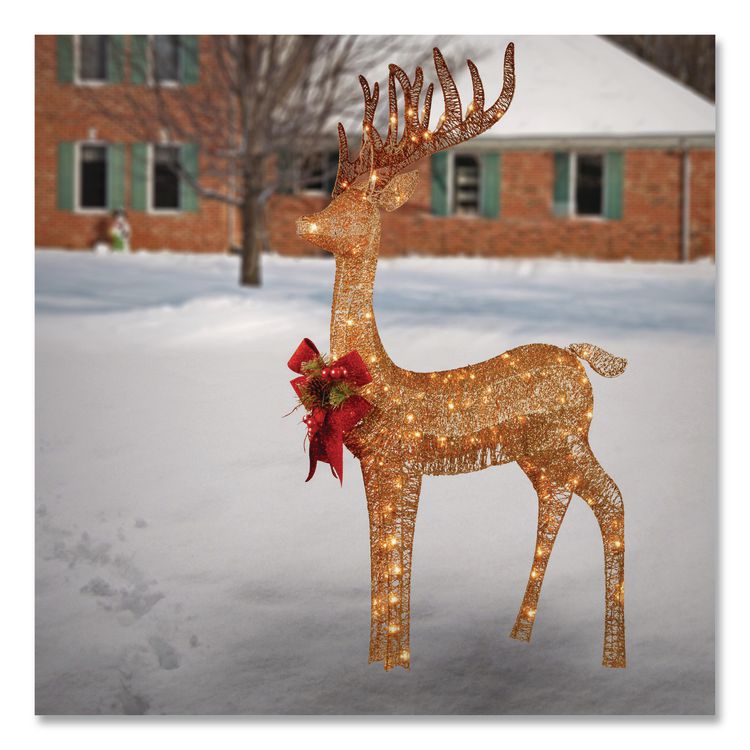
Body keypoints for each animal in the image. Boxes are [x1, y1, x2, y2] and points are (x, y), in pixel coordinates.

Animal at [295, 43, 627, 671]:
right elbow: (382, 562)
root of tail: (579, 359)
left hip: (568, 438)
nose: (305, 223)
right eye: (332, 194)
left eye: (357, 206)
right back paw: (520, 636)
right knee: (558, 503)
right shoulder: (378, 468)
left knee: (612, 500)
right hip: (539, 453)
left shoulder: (402, 465)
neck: (377, 382)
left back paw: (613, 658)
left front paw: (396, 662)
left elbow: (397, 563)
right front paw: (380, 663)